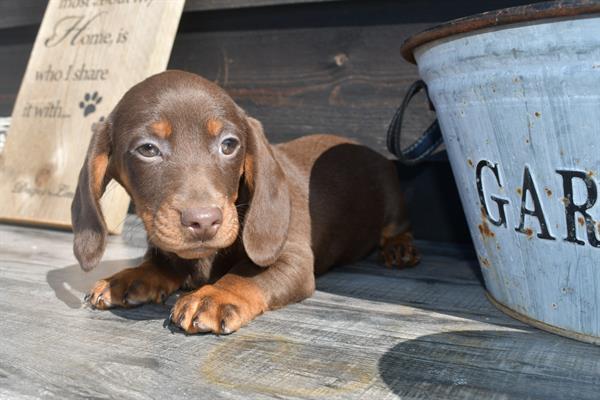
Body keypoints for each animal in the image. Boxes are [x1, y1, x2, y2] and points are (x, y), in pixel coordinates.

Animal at [71, 69, 418, 334]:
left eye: (229, 145)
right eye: (147, 149)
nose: (204, 221)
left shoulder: (293, 257)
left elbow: (246, 272)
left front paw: (214, 297)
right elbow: (160, 262)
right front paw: (127, 277)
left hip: (392, 200)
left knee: (397, 227)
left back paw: (399, 248)